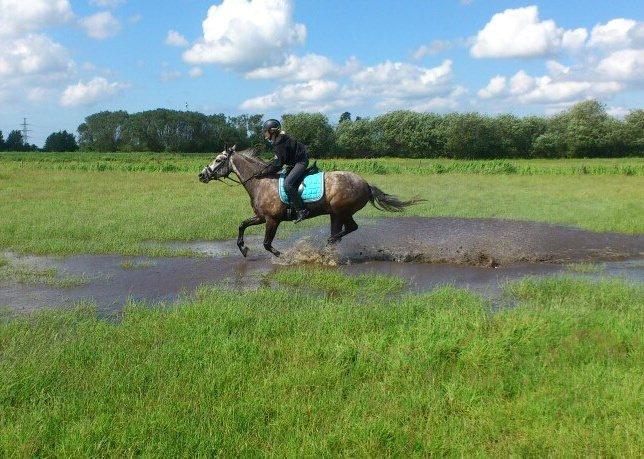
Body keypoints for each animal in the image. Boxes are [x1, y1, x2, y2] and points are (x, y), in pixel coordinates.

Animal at [199, 146, 426, 256]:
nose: (202, 175)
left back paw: (327, 245)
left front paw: (284, 256)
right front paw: (243, 249)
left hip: (342, 211)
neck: (261, 181)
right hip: (335, 214)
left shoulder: (272, 220)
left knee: (350, 228)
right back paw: (328, 249)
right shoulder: (261, 217)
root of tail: (366, 184)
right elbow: (241, 225)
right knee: (340, 232)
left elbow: (266, 244)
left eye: (218, 160)